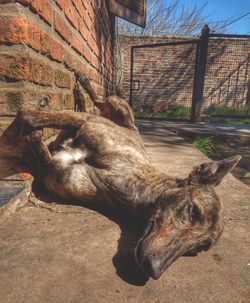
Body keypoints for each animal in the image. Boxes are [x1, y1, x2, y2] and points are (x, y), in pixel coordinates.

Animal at [9, 73, 240, 280]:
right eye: (194, 211)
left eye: (199, 248)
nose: (154, 270)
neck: (126, 178)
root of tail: (131, 126)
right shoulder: (87, 122)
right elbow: (27, 113)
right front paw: (36, 105)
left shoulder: (55, 172)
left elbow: (41, 153)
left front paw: (35, 135)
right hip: (117, 105)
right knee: (99, 101)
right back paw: (82, 84)